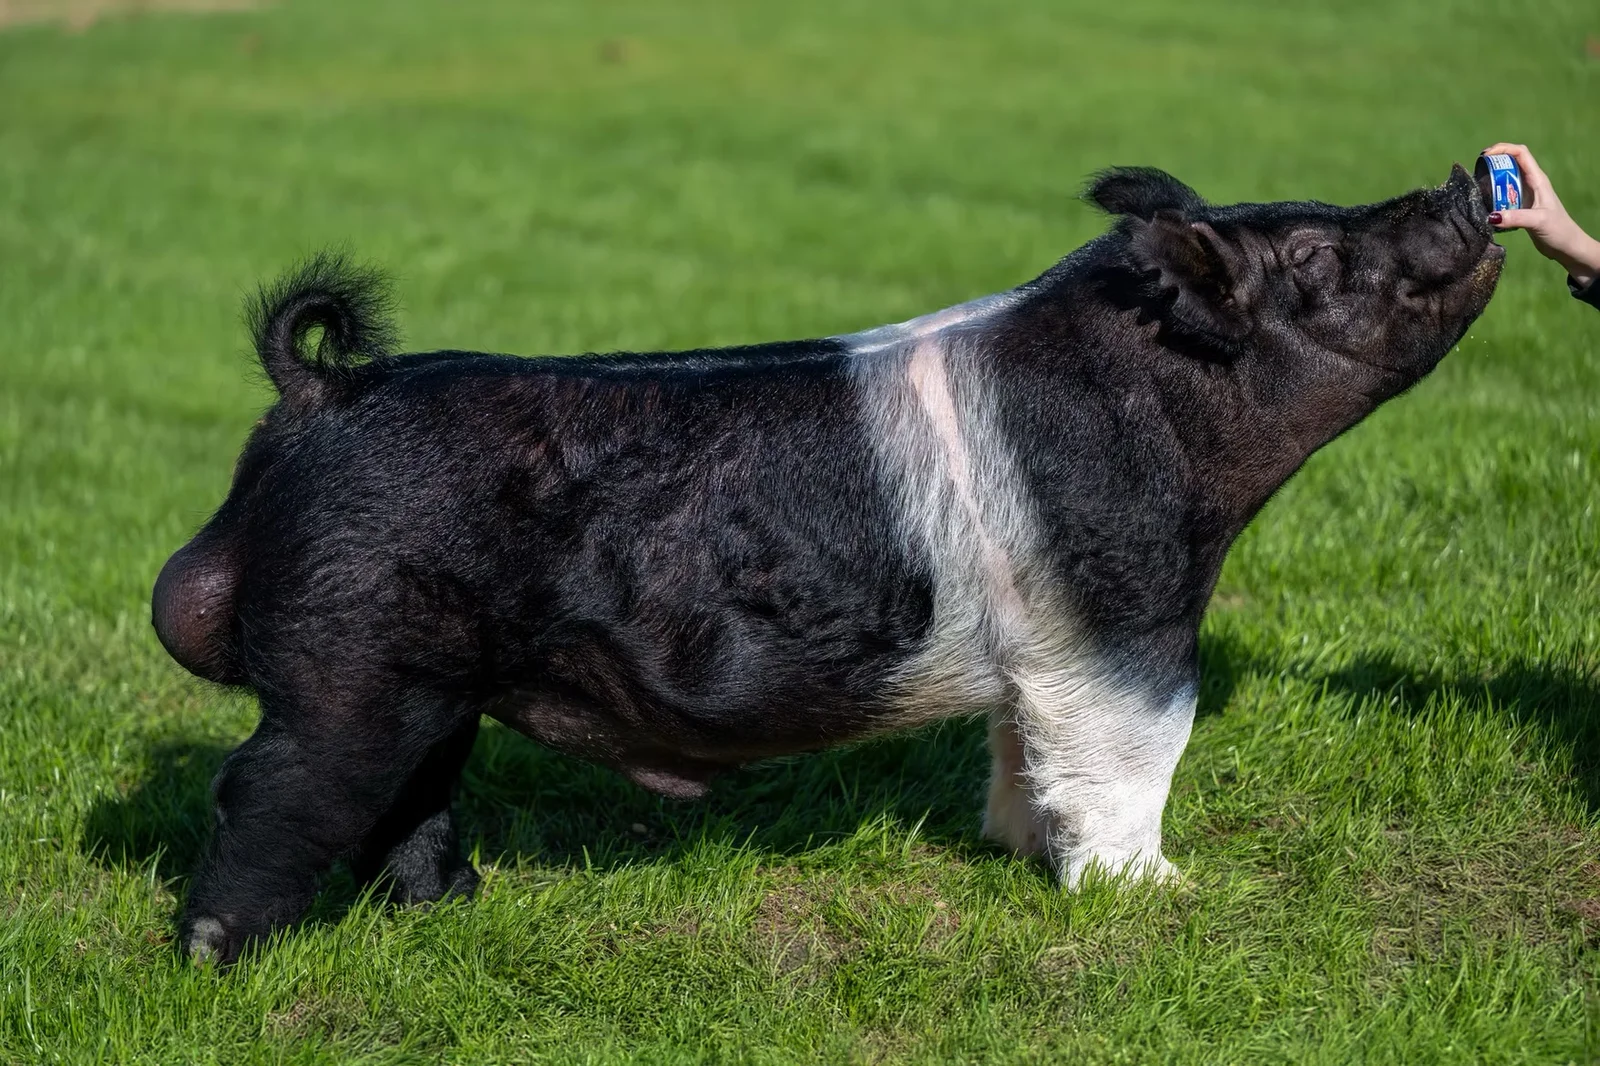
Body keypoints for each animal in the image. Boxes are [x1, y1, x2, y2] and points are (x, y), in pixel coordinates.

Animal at [153, 165, 1503, 963]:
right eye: (1315, 261)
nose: (1461, 183)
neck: (1168, 405)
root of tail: (323, 391)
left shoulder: (1043, 649)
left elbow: (1026, 747)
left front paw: (1023, 854)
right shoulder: (1130, 606)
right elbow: (1139, 748)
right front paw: (1160, 897)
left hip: (427, 682)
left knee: (408, 796)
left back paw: (459, 907)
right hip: (347, 664)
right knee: (270, 789)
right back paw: (217, 959)